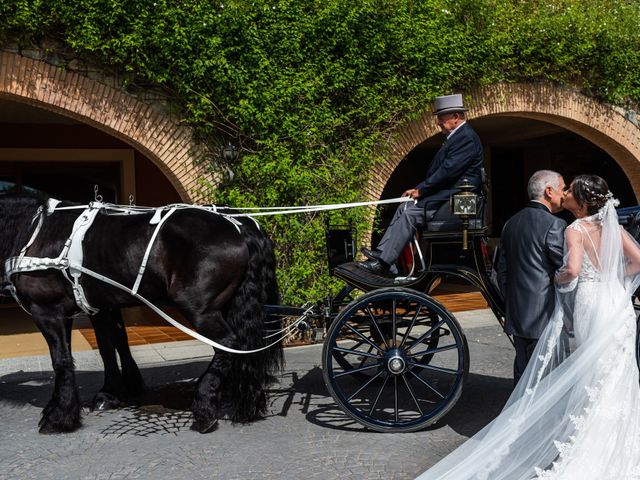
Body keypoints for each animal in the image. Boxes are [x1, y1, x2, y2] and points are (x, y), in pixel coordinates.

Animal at [0, 193, 280, 434]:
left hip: (201, 310)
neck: (36, 233)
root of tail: (240, 225)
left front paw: (59, 416)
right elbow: (110, 346)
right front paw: (112, 393)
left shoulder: (48, 311)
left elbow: (61, 360)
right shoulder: (101, 307)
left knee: (228, 344)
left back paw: (204, 406)